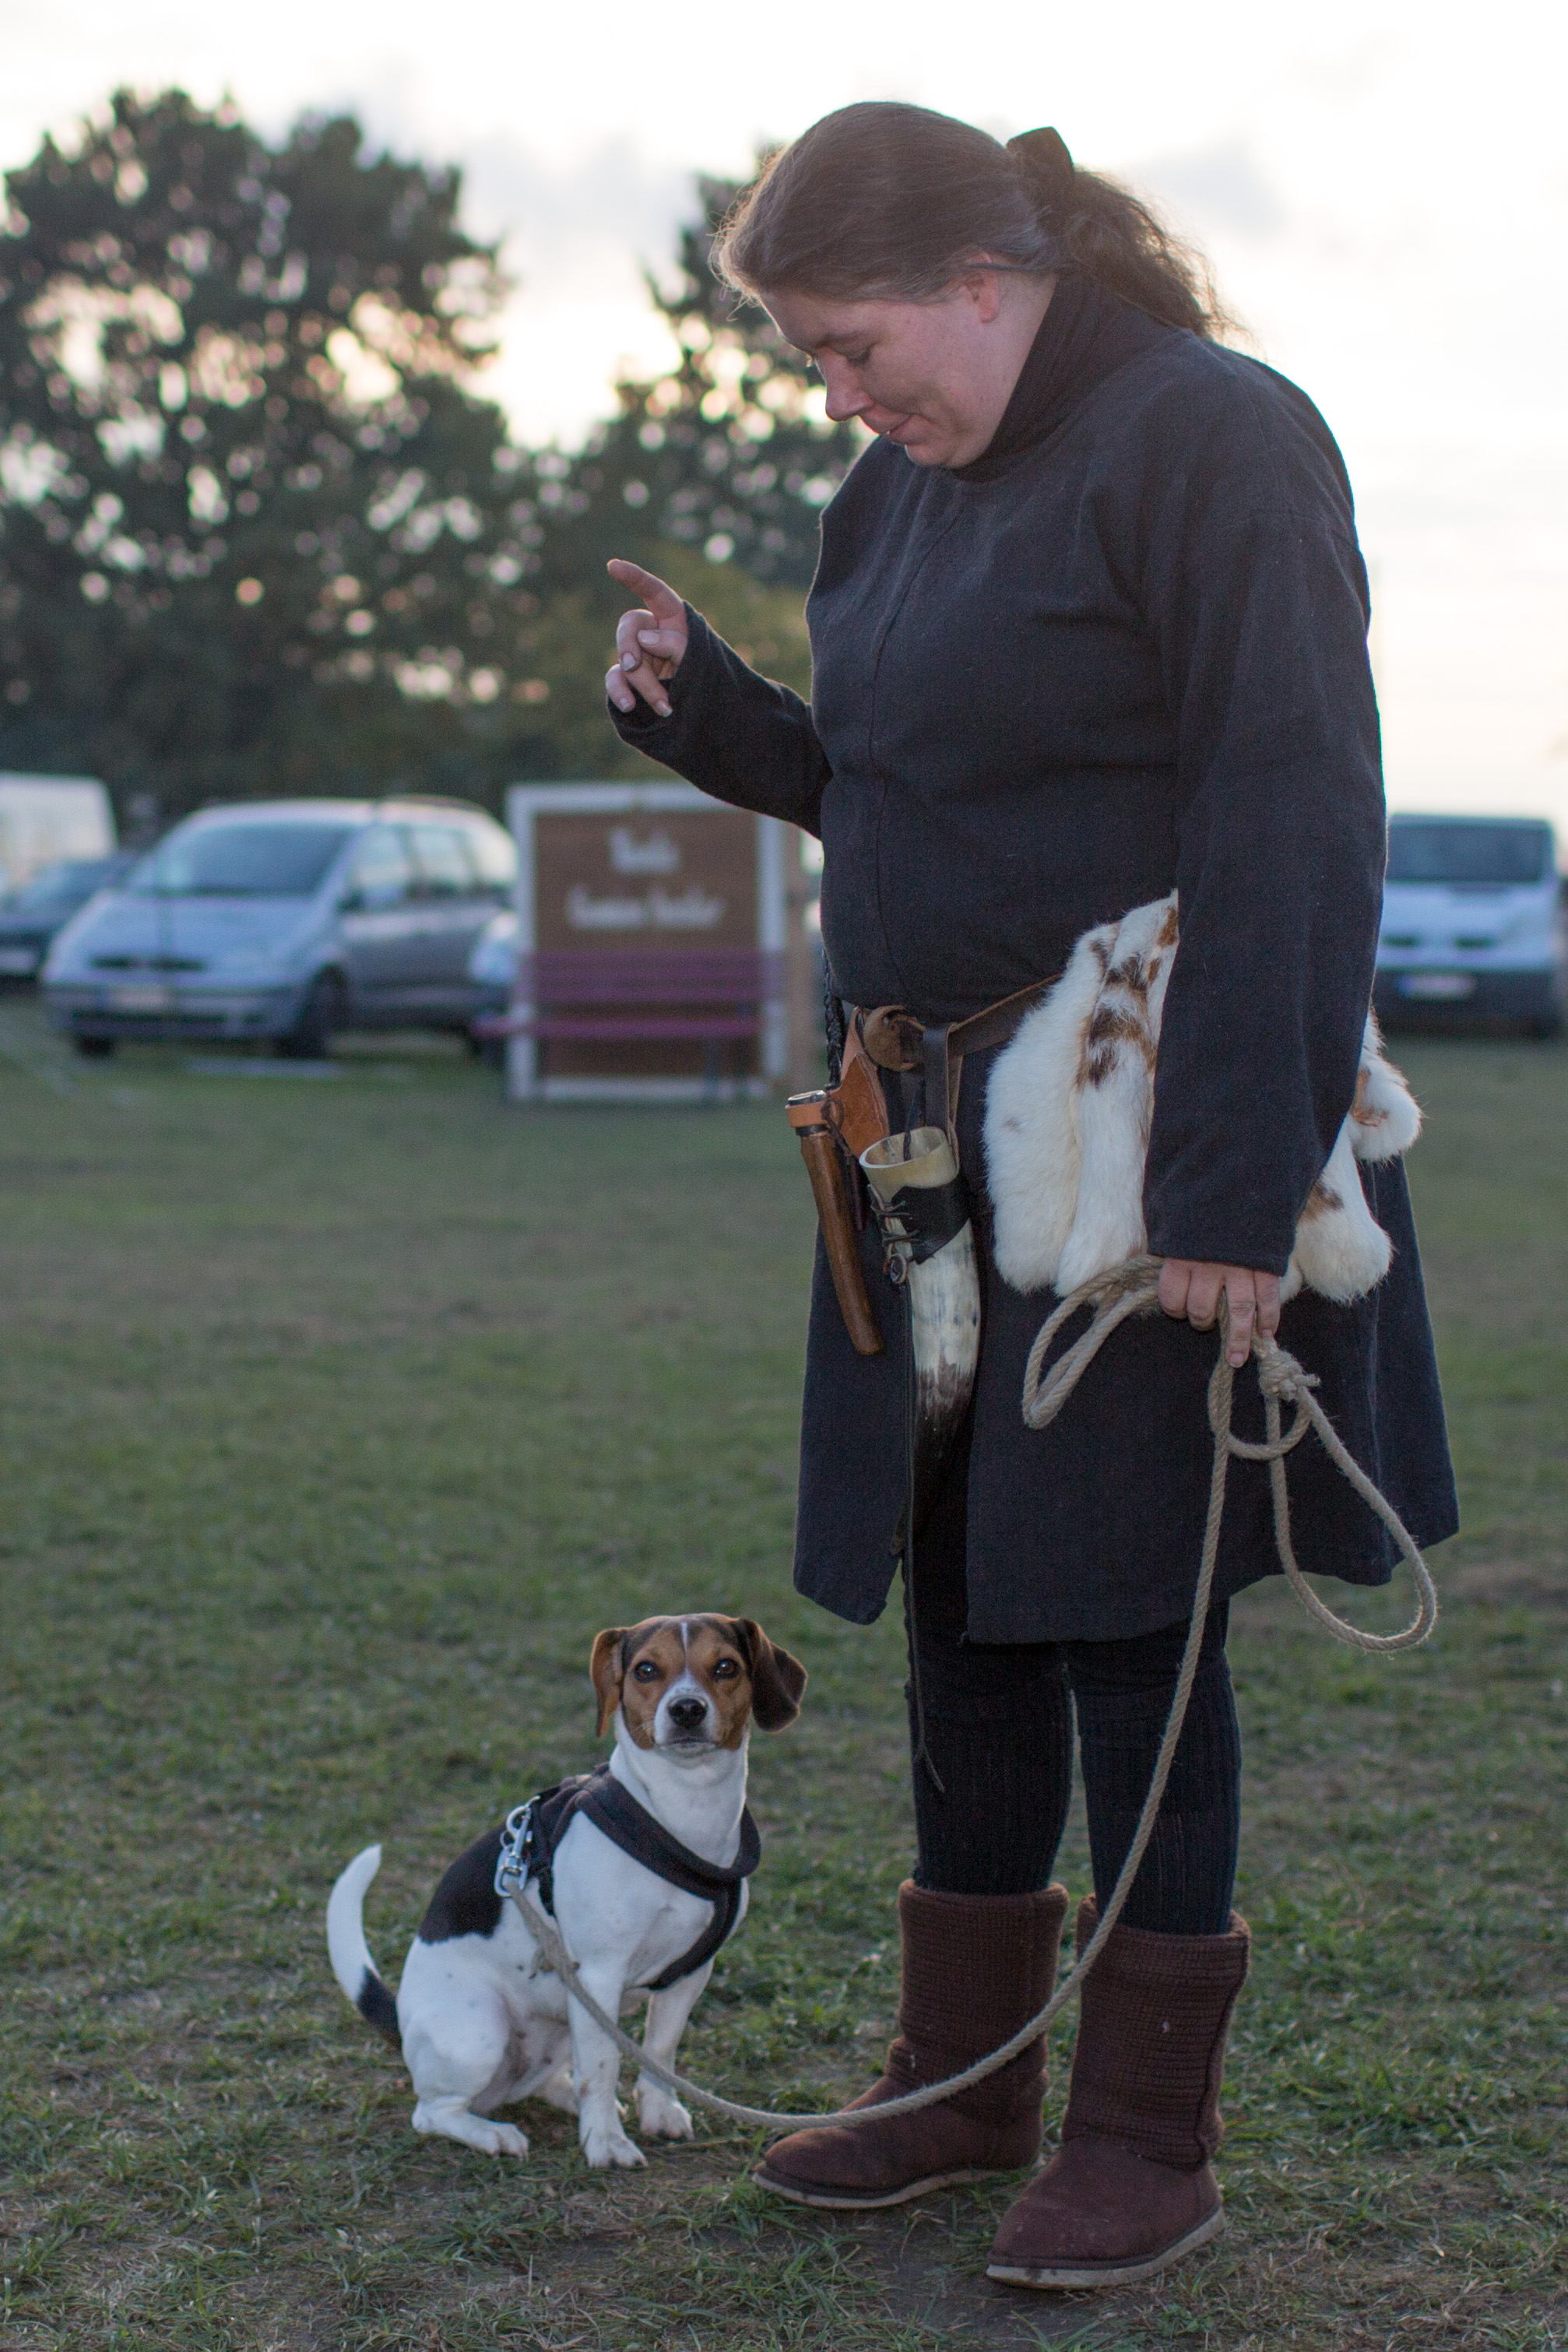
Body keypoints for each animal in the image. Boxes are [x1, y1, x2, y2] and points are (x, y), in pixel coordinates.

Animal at [326, 1614, 805, 2167]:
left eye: (725, 1667)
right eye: (646, 1670)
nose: (687, 1709)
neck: (680, 1815)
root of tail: (402, 2020)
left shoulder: (689, 1975)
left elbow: (659, 2053)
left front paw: (658, 2111)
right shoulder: (597, 1975)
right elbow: (603, 2068)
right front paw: (605, 2144)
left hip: (556, 2030)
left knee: (547, 2079)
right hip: (479, 2032)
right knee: (432, 2112)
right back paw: (493, 2134)